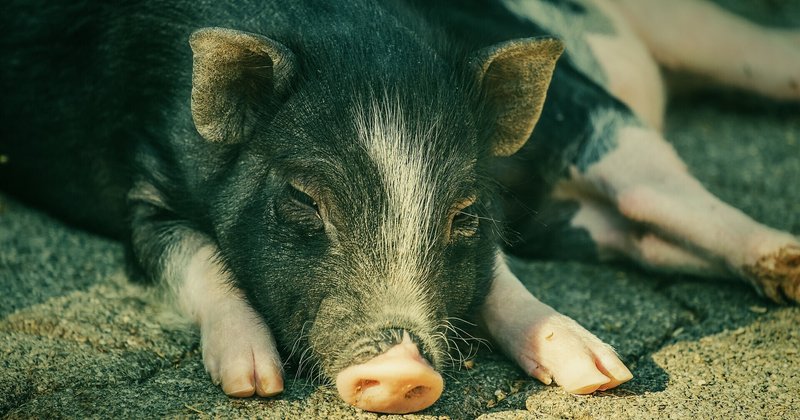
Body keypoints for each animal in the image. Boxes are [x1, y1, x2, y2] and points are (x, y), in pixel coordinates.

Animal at [0, 0, 796, 416]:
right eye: (302, 198)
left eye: (462, 211)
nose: (404, 369)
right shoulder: (138, 188)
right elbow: (193, 257)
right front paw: (253, 382)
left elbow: (495, 273)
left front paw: (600, 374)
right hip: (584, 220)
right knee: (642, 224)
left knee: (657, 167)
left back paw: (783, 267)